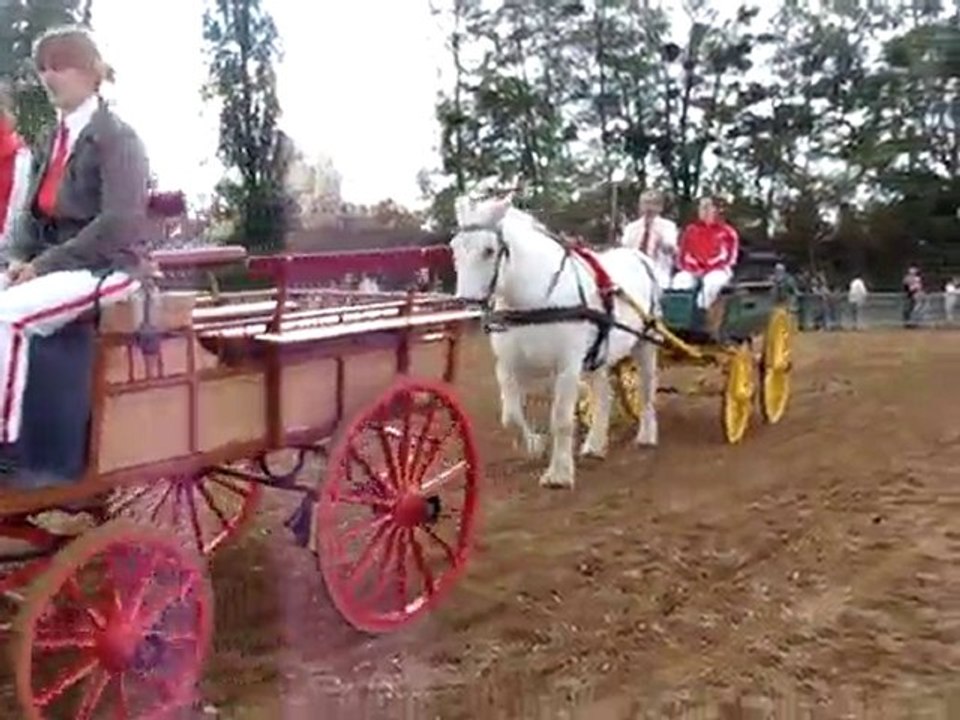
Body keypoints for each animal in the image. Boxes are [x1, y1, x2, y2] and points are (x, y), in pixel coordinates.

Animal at [449, 195, 662, 489]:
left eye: (489, 250)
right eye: (454, 248)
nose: (466, 303)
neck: (536, 298)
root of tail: (639, 256)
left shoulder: (568, 367)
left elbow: (561, 419)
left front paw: (559, 473)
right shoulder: (507, 366)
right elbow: (511, 416)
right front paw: (534, 445)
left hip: (645, 343)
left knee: (647, 388)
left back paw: (646, 435)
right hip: (598, 355)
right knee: (604, 395)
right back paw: (595, 445)